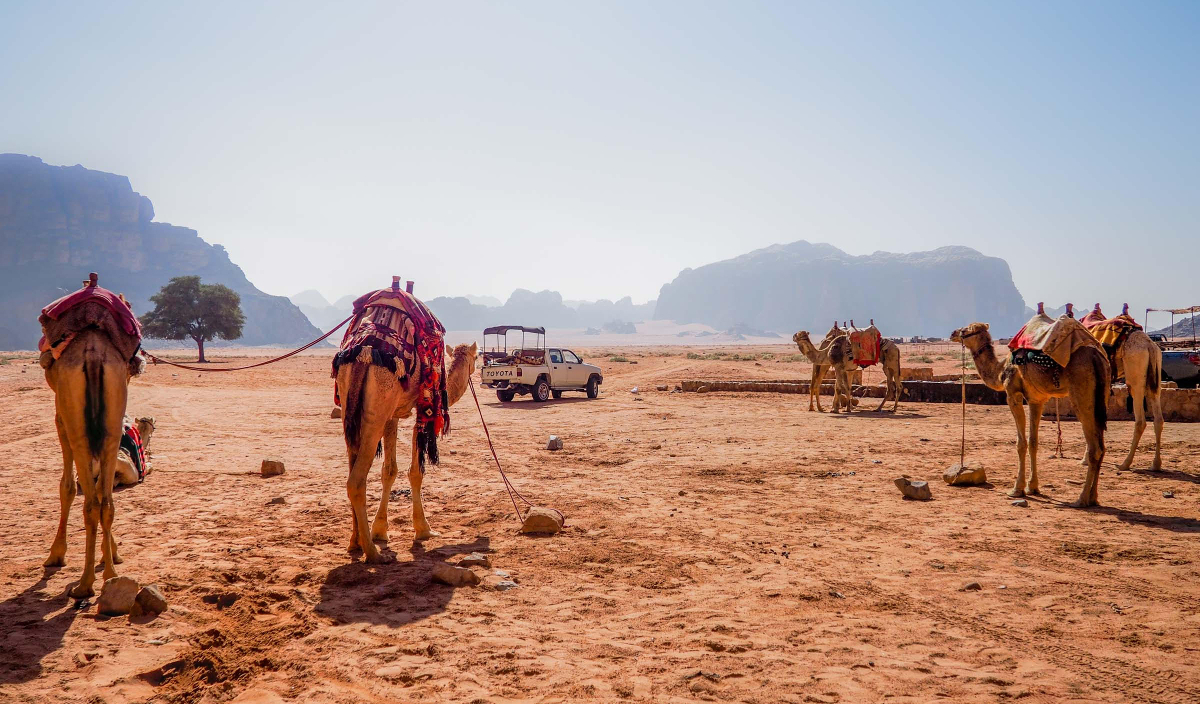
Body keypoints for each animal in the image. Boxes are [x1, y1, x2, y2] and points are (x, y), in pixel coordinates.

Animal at [950, 321, 1108, 508]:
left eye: (966, 329)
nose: (953, 333)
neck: (1001, 370)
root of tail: (1097, 357)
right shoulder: (1036, 400)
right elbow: (1033, 442)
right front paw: (1032, 487)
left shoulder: (1013, 394)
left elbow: (1021, 443)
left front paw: (1017, 489)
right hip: (1102, 396)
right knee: (1102, 447)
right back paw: (1094, 497)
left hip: (1081, 393)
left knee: (1094, 448)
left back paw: (1081, 499)